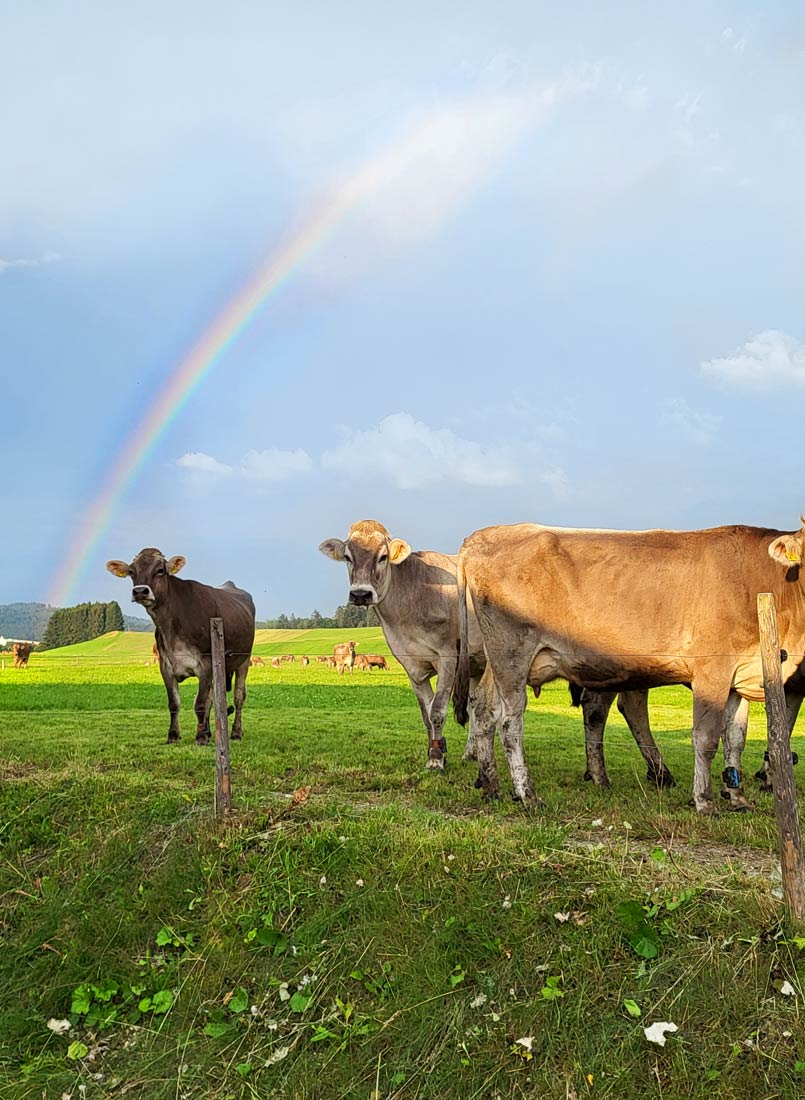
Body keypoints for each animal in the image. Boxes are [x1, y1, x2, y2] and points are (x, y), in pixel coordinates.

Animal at [106, 548, 255, 744]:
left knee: (238, 696)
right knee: (213, 698)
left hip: (243, 660)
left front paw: (200, 737)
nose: (140, 591)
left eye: (160, 570)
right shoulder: (166, 666)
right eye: (131, 571)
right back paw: (210, 731)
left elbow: (200, 703)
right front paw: (174, 735)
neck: (172, 627)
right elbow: (175, 703)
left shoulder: (206, 663)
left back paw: (236, 732)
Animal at [320, 520, 675, 778]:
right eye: (348, 557)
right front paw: (439, 750)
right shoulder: (412, 666)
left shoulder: (448, 657)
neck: (409, 601)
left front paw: (436, 759)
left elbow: (437, 711)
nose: (361, 594)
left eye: (382, 556)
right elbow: (425, 714)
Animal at [453, 519, 805, 813]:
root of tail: (483, 535)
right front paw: (704, 801)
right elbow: (706, 739)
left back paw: (491, 785)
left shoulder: (742, 675)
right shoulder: (711, 672)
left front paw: (736, 796)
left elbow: (735, 739)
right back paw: (527, 793)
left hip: (496, 658)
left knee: (484, 711)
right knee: (510, 722)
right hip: (512, 652)